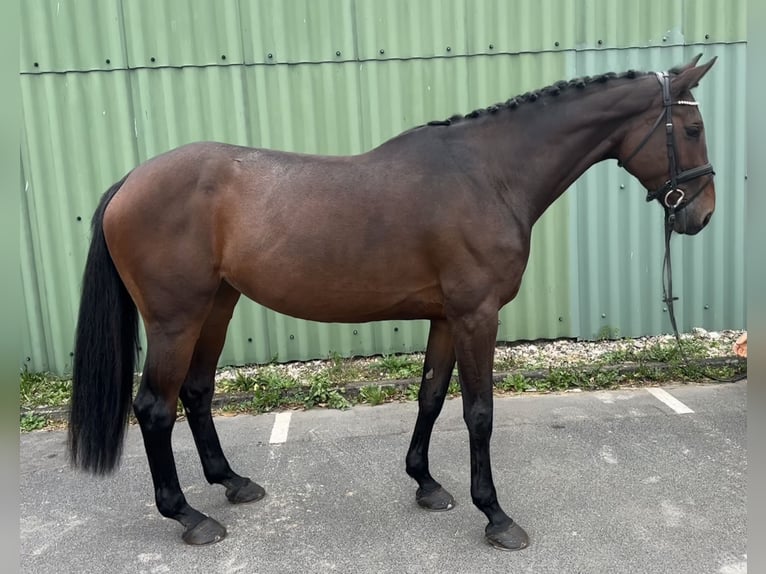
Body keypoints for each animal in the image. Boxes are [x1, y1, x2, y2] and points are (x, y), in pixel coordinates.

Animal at [67, 55, 720, 552]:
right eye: (691, 131)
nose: (701, 213)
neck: (489, 175)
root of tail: (129, 182)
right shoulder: (477, 315)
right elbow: (479, 413)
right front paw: (496, 516)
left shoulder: (446, 318)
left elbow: (430, 396)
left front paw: (426, 484)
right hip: (175, 319)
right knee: (154, 407)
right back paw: (189, 516)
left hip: (217, 307)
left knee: (197, 394)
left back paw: (231, 482)